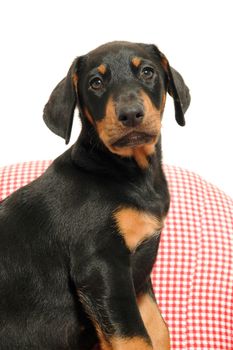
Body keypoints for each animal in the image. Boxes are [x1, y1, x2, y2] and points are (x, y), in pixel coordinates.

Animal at [0, 41, 189, 350]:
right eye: (96, 83)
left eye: (147, 72)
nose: (130, 114)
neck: (126, 173)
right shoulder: (101, 264)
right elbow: (135, 338)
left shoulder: (139, 274)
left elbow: (158, 330)